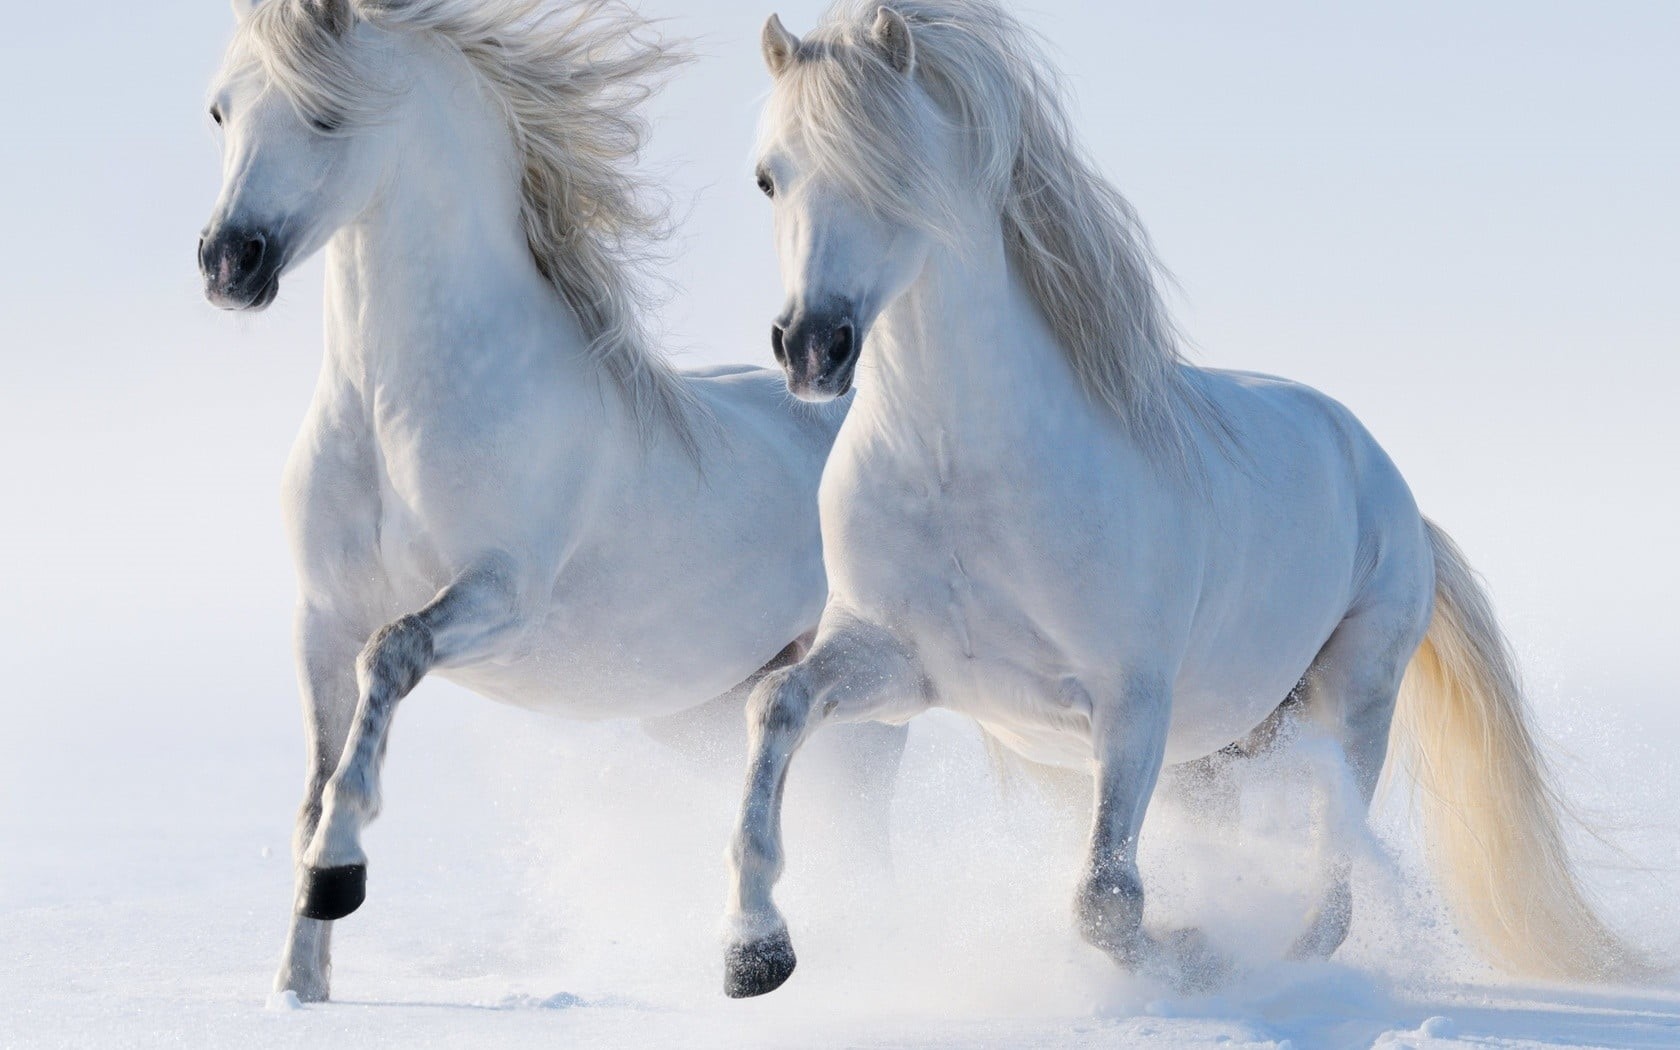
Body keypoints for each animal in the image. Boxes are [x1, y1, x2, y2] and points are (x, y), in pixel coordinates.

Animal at [199, 0, 904, 1003]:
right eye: (221, 111)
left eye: (326, 114)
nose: (229, 263)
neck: (393, 409)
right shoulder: (320, 618)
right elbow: (311, 782)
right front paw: (299, 986)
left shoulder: (500, 597)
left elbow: (391, 658)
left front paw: (338, 875)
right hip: (701, 715)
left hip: (867, 706)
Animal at [722, 0, 1645, 997]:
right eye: (769, 178)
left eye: (893, 171)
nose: (811, 347)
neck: (959, 473)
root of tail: (1393, 491)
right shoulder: (897, 665)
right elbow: (775, 705)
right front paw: (754, 950)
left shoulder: (1132, 703)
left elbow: (1106, 901)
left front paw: (1194, 956)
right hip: (1220, 750)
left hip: (1350, 700)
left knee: (1333, 881)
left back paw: (1277, 964)